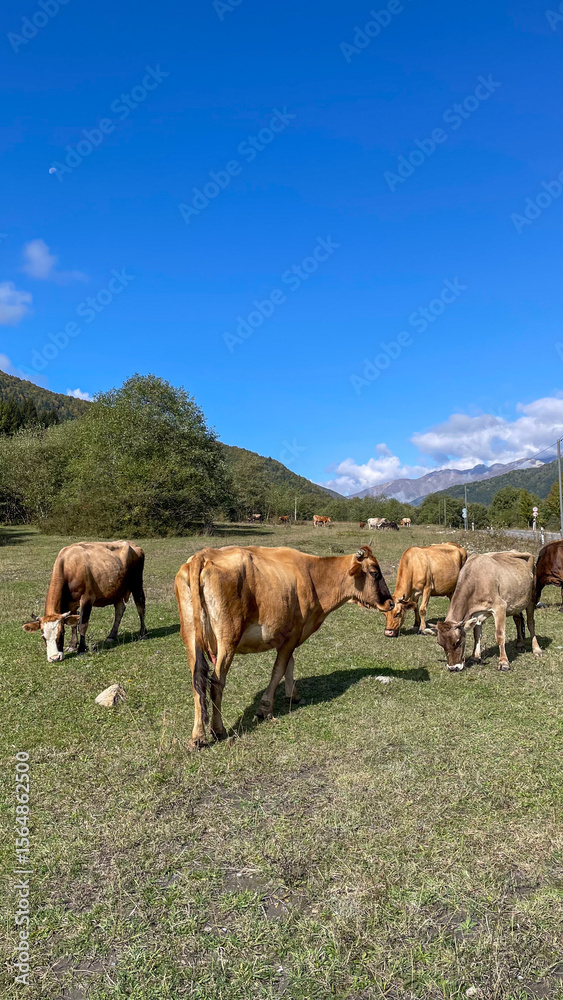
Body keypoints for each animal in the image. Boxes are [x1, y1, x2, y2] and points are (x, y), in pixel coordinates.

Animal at [175, 544, 394, 749]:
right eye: (375, 573)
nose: (391, 602)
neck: (313, 576)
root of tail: (203, 555)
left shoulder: (289, 636)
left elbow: (290, 664)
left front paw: (293, 695)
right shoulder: (293, 633)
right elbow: (279, 669)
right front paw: (265, 708)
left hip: (190, 636)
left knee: (197, 682)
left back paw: (197, 737)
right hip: (228, 639)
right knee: (216, 683)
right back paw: (218, 730)